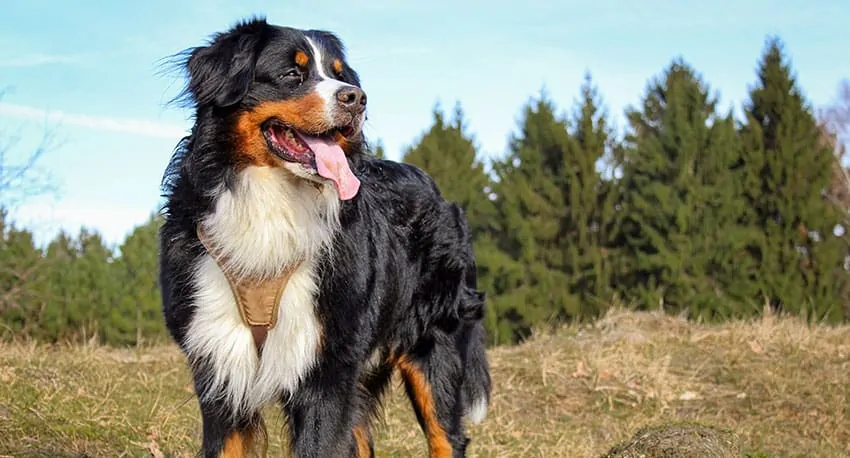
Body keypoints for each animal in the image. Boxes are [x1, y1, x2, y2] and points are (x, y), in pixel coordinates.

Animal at [158, 16, 490, 456]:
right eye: (291, 74)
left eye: (339, 75)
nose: (357, 98)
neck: (271, 206)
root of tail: (441, 195)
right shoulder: (220, 370)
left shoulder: (327, 372)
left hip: (435, 352)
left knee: (447, 437)